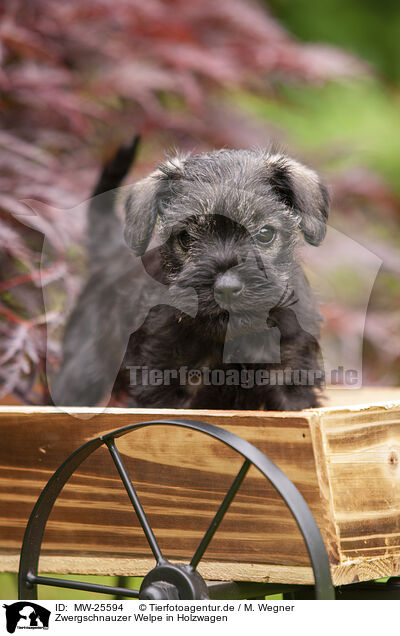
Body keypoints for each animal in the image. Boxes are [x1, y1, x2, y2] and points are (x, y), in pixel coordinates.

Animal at [52, 142, 328, 410]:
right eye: (185, 237)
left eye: (265, 233)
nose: (227, 288)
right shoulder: (162, 382)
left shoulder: (292, 378)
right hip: (83, 369)